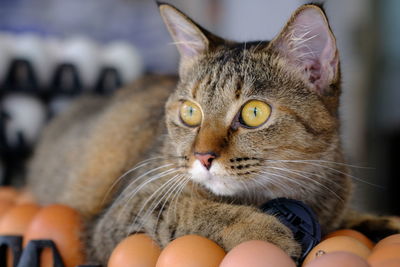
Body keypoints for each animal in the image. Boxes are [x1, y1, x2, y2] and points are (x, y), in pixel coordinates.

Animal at [26, 2, 398, 266]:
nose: (202, 156)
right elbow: (182, 207)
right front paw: (256, 229)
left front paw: (379, 222)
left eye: (254, 113)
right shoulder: (118, 217)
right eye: (190, 112)